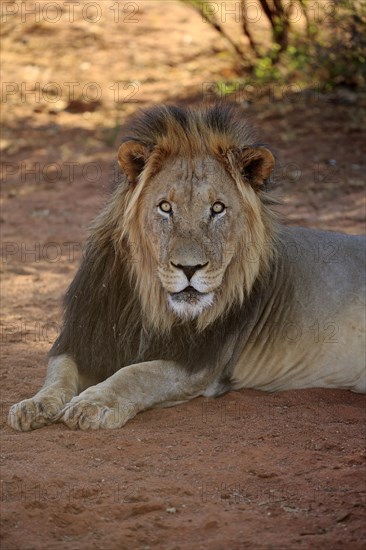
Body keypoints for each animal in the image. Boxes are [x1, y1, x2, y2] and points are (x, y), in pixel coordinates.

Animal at [8, 101, 366, 434]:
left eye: (218, 209)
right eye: (165, 207)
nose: (189, 268)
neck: (148, 303)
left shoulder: (200, 364)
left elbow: (135, 373)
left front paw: (94, 403)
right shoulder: (81, 337)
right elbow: (58, 373)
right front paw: (33, 405)